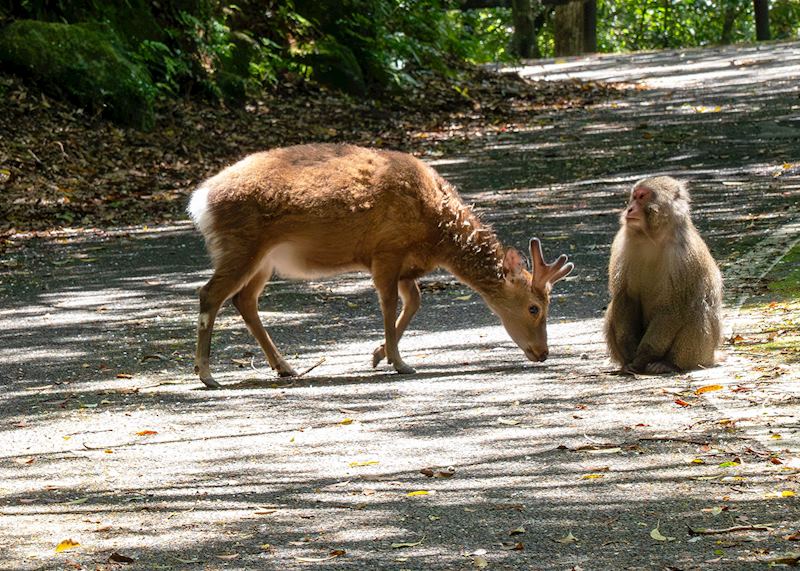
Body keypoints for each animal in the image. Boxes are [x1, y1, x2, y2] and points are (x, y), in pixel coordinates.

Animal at [188, 143, 573, 388]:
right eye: (535, 308)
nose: (543, 353)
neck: (437, 232)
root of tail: (200, 201)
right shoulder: (387, 251)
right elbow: (389, 305)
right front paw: (400, 363)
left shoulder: (405, 265)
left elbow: (414, 302)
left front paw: (379, 355)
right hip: (241, 245)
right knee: (210, 294)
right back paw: (207, 374)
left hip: (262, 260)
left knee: (243, 300)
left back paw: (285, 367)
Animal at [604, 176, 723, 374]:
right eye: (633, 197)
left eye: (641, 196)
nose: (629, 209)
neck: (652, 237)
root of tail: (711, 357)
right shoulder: (622, 244)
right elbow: (625, 296)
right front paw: (629, 351)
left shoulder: (684, 255)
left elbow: (673, 307)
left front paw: (643, 356)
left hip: (703, 354)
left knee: (696, 308)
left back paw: (668, 364)